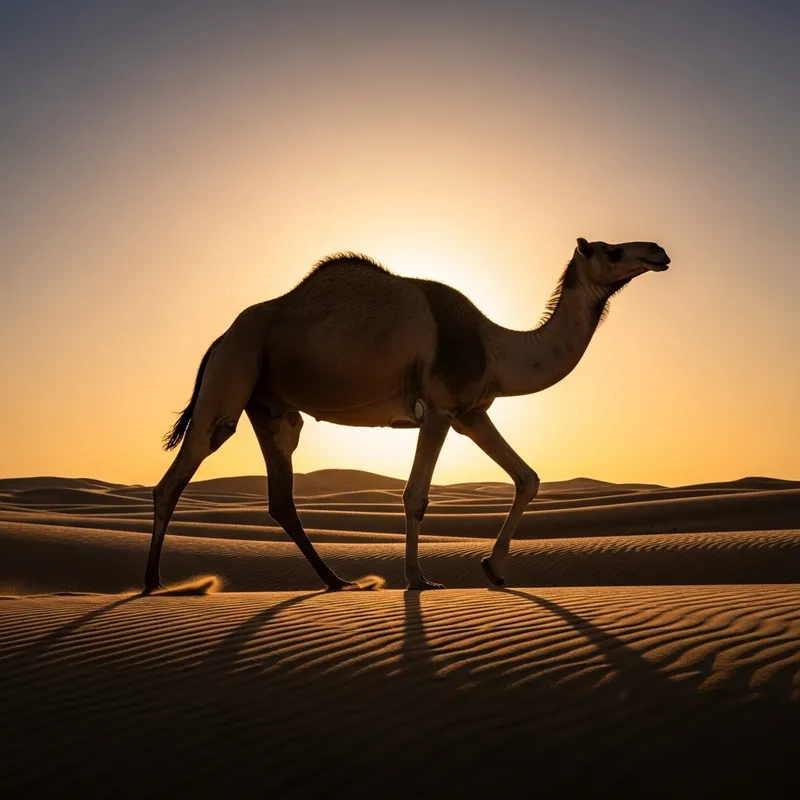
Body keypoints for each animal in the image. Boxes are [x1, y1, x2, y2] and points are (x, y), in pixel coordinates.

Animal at [143, 237, 670, 593]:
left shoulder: (471, 413)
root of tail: (219, 338)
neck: (495, 346)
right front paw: (418, 579)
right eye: (612, 251)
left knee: (280, 497)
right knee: (181, 470)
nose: (658, 252)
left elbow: (528, 477)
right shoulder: (438, 409)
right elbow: (416, 496)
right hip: (234, 369)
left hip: (271, 406)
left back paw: (336, 580)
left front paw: (494, 569)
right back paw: (152, 584)